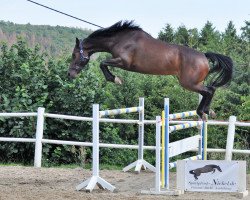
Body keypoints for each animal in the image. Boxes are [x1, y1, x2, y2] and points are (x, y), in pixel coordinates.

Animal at [67, 20, 233, 119]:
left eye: (74, 54)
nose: (70, 74)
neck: (120, 39)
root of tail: (204, 56)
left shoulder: (123, 62)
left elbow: (102, 63)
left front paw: (116, 79)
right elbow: (103, 63)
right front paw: (116, 79)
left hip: (189, 83)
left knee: (209, 91)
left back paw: (202, 112)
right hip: (194, 83)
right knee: (210, 90)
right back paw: (208, 111)